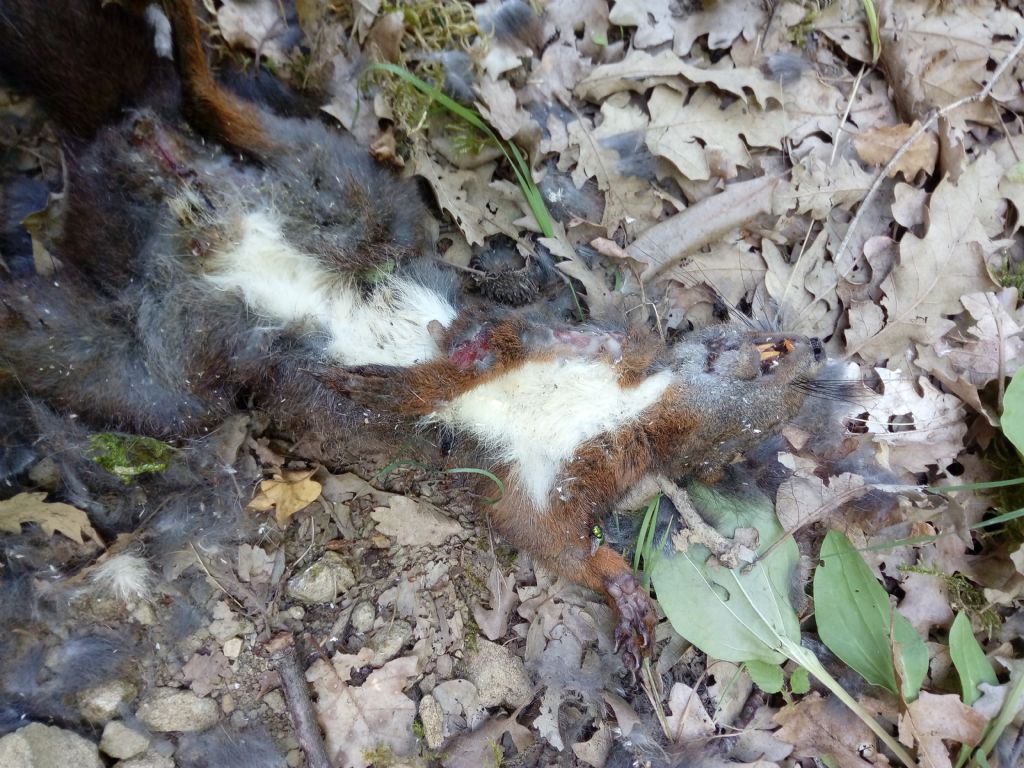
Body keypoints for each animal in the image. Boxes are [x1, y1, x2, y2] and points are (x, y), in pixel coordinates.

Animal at [0, 0, 829, 667]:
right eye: (776, 350)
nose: (815, 348)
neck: (625, 411)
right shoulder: (549, 329)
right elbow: (488, 345)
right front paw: (404, 378)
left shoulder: (541, 490)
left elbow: (554, 543)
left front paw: (627, 599)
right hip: (347, 186)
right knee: (217, 110)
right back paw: (184, 42)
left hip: (175, 368)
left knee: (93, 352)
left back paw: (20, 304)